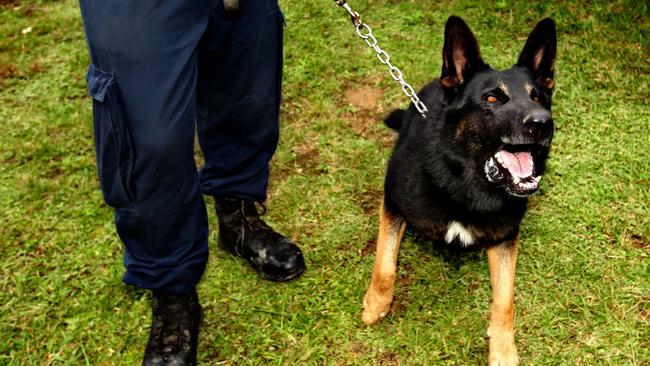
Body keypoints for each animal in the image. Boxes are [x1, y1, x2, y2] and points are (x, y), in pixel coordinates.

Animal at [362, 15, 556, 364]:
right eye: (492, 98)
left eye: (537, 97)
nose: (543, 122)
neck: (466, 182)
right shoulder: (393, 202)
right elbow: (384, 261)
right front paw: (376, 303)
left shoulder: (505, 237)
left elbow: (505, 300)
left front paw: (503, 349)